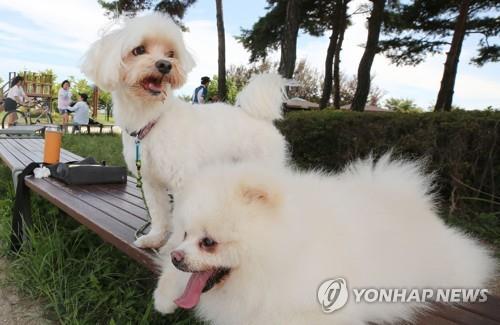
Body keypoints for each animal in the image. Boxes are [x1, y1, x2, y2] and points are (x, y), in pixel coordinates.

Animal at [80, 12, 288, 246]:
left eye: (171, 54)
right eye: (139, 50)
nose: (165, 65)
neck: (150, 119)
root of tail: (260, 117)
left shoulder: (182, 182)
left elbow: (180, 221)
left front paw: (172, 247)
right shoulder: (151, 182)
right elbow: (159, 214)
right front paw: (154, 238)